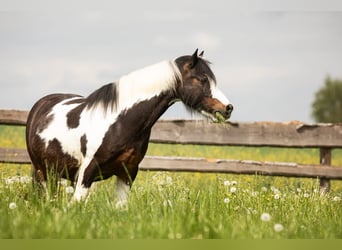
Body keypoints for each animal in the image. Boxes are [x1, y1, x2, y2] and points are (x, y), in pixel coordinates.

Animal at [25, 49, 234, 207]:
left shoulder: (127, 172)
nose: (228, 108)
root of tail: (42, 103)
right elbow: (75, 205)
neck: (119, 122)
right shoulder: (87, 172)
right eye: (201, 79)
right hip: (43, 172)